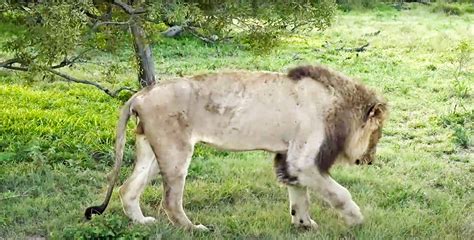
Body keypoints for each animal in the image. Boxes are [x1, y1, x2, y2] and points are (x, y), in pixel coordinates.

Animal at [85, 65, 388, 231]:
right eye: (378, 133)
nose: (370, 160)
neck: (338, 104)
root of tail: (139, 95)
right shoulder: (303, 160)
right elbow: (339, 193)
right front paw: (356, 219)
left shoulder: (289, 159)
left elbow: (299, 196)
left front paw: (304, 224)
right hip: (175, 151)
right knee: (170, 201)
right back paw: (194, 228)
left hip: (152, 151)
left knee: (127, 189)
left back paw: (142, 222)